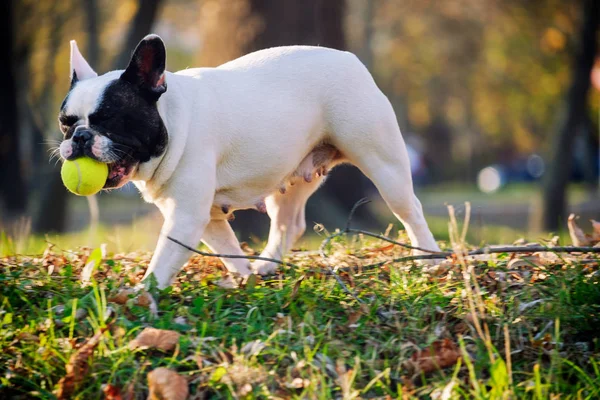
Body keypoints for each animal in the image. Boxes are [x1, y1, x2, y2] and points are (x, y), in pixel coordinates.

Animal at [57, 35, 440, 288]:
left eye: (111, 120)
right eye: (65, 123)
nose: (79, 137)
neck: (173, 119)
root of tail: (350, 59)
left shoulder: (185, 217)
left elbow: (164, 258)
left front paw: (143, 294)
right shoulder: (205, 218)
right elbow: (228, 249)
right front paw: (244, 279)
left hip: (383, 163)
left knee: (410, 210)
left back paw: (430, 257)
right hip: (289, 177)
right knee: (289, 224)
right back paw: (268, 265)